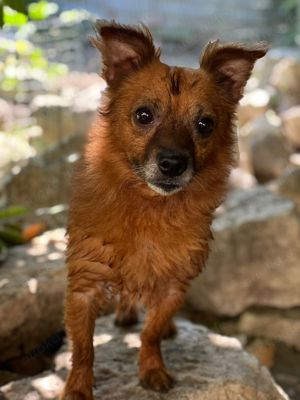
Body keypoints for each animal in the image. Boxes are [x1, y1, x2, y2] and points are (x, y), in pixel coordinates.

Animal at [61, 20, 268, 398]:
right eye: (143, 115)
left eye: (205, 124)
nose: (173, 163)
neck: (150, 208)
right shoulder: (84, 286)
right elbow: (83, 349)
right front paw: (78, 388)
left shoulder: (174, 284)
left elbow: (151, 333)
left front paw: (152, 368)